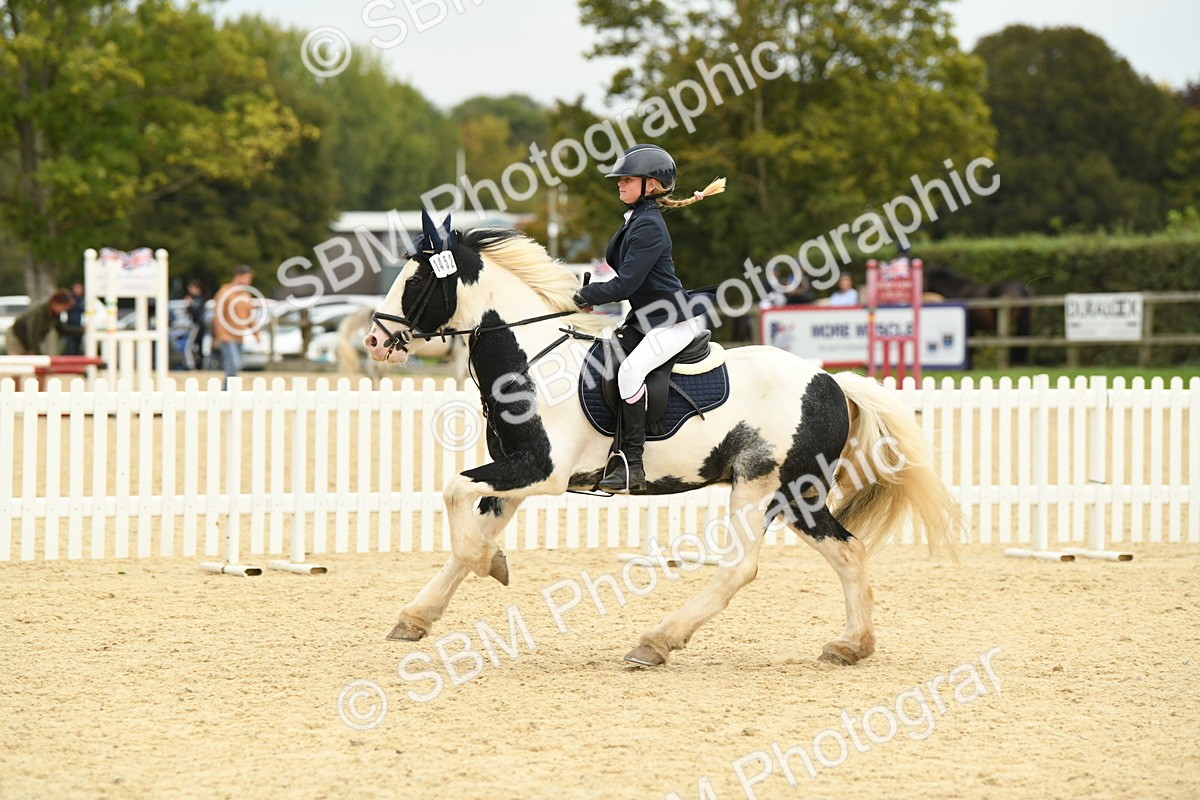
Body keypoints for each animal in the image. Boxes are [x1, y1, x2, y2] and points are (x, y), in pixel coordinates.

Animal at [364, 220, 958, 667]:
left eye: (415, 281)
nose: (373, 339)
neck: (530, 359)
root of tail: (832, 381)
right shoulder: (515, 469)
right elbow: (468, 529)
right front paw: (418, 616)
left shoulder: (540, 471)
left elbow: (455, 500)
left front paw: (493, 565)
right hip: (797, 496)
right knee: (848, 552)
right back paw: (851, 646)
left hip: (760, 487)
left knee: (741, 567)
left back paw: (657, 641)